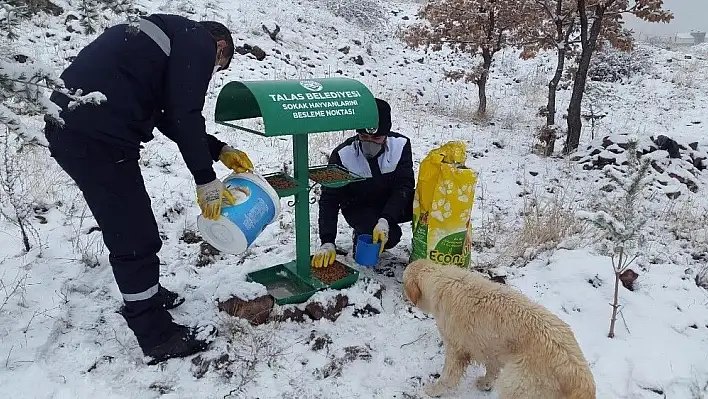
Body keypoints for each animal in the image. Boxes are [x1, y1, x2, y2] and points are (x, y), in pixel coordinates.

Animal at [402, 260, 596, 398]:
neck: (439, 279)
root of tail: (582, 379)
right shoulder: (490, 347)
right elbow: (492, 369)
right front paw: (485, 384)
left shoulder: (457, 348)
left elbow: (448, 376)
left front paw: (433, 390)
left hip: (515, 384)